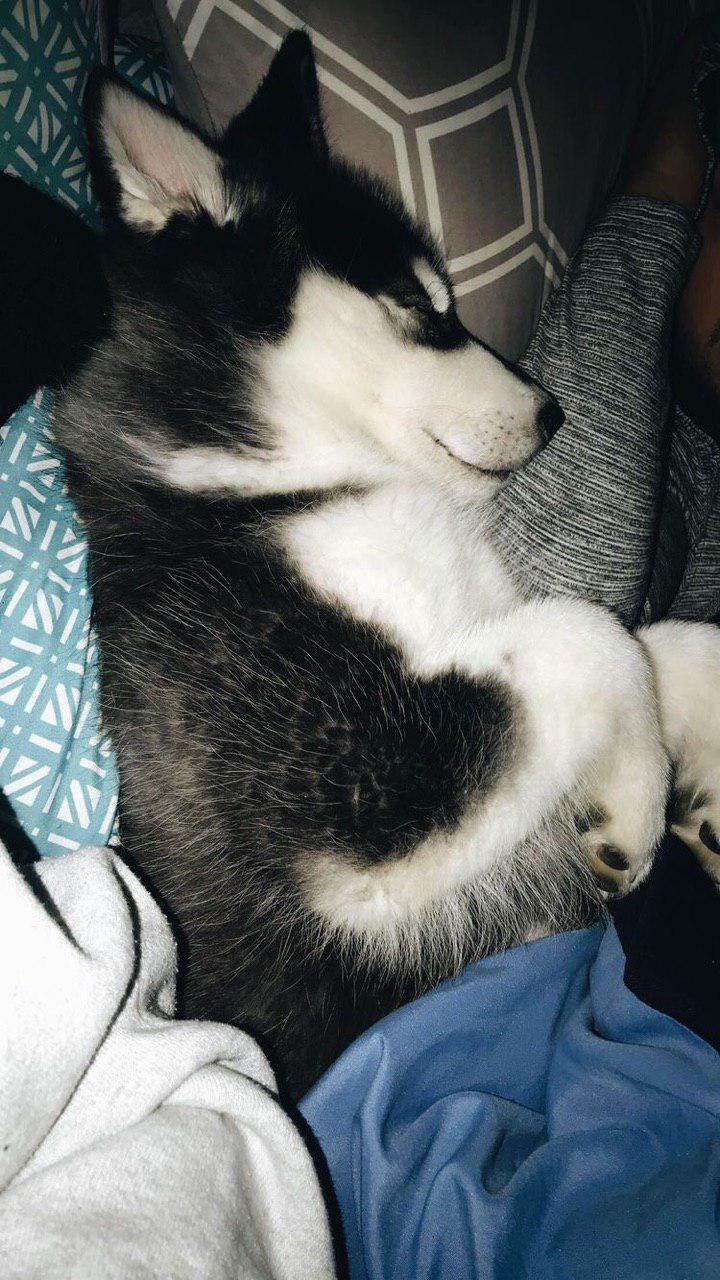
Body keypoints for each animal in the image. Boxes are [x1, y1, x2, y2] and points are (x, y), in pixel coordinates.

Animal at [54, 32, 717, 1090]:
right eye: (414, 302)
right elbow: (592, 639)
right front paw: (633, 805)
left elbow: (660, 644)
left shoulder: (487, 638)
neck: (287, 483)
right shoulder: (355, 801)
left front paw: (668, 774)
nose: (552, 415)